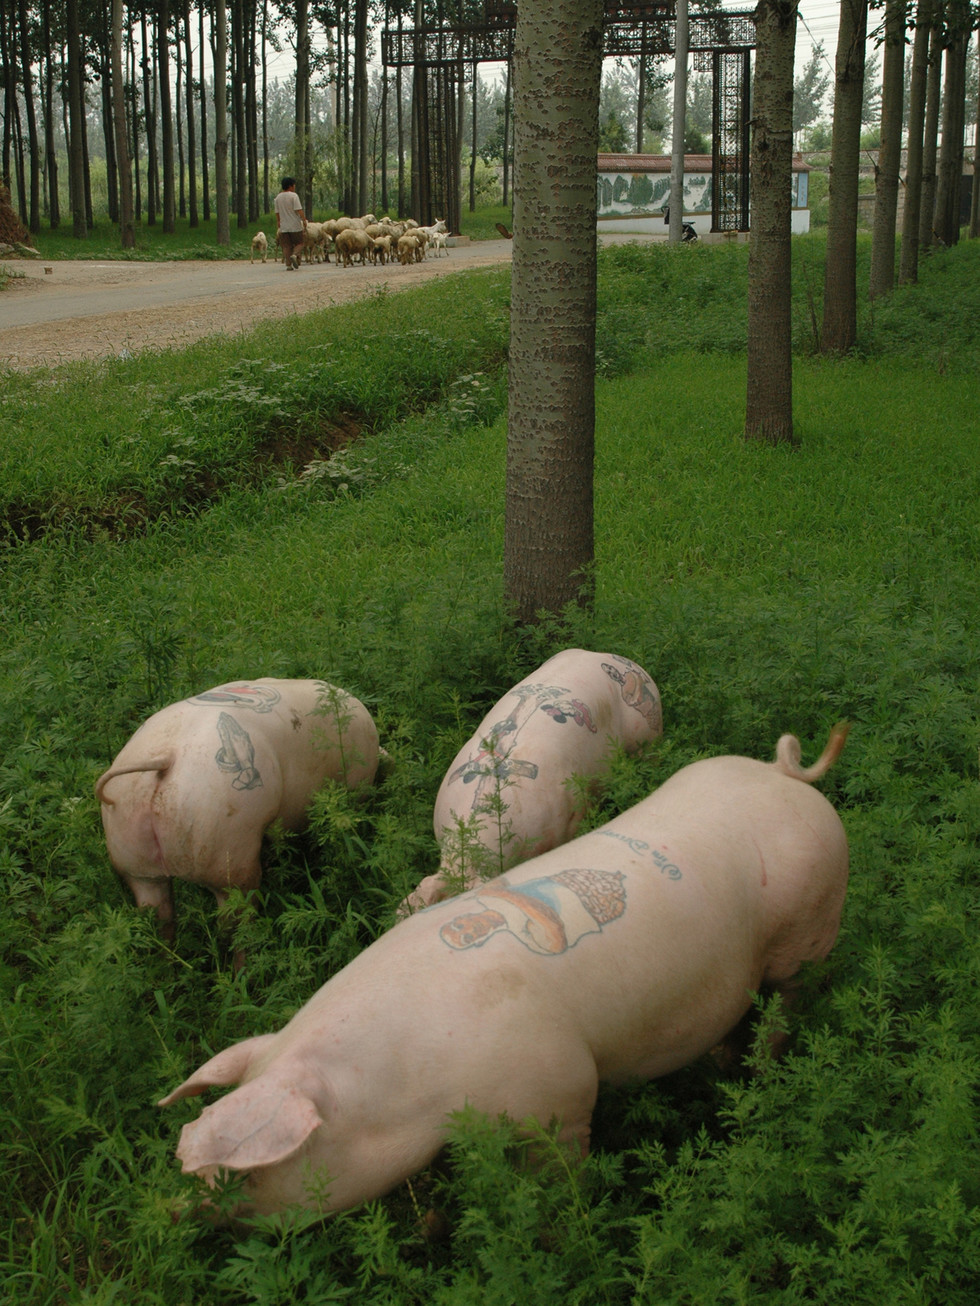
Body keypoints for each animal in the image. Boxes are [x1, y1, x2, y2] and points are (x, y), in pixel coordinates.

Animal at [159, 725, 849, 1220]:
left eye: (241, 1177)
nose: (171, 1212)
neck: (409, 1087)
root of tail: (785, 775)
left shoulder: (561, 1095)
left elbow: (559, 1182)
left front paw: (562, 1226)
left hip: (809, 933)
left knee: (786, 1005)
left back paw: (759, 1072)